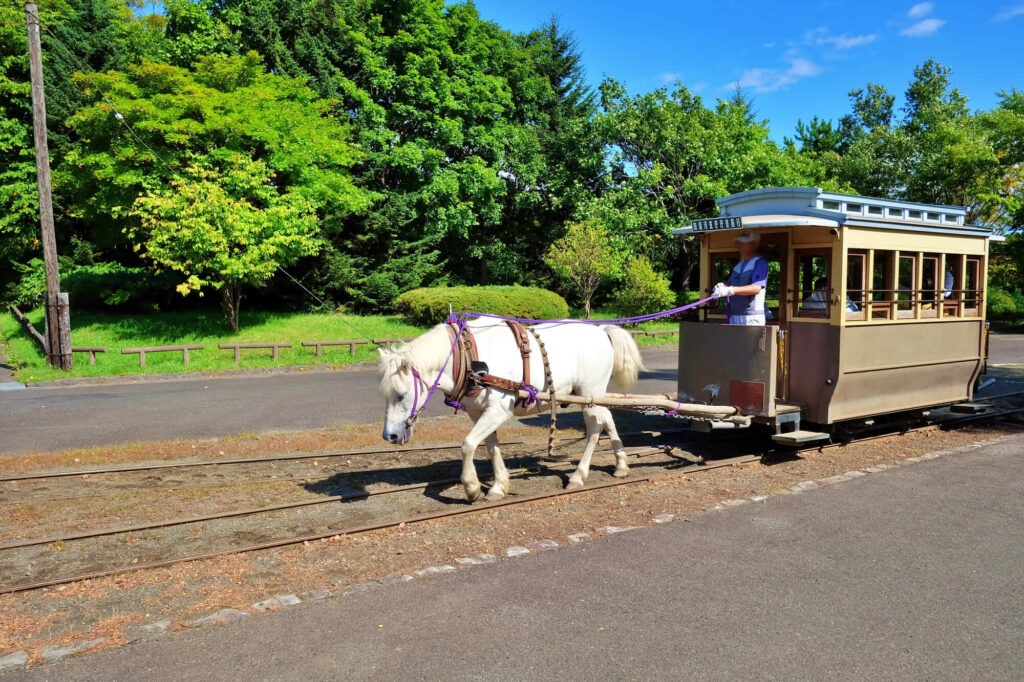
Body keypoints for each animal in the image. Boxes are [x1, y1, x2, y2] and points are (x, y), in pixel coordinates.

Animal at [380, 319, 643, 499]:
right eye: (385, 396)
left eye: (402, 395)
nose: (389, 436)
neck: (468, 357)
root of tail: (601, 330)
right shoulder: (480, 412)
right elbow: (490, 447)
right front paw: (499, 486)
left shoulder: (498, 411)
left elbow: (467, 445)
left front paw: (472, 487)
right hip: (590, 395)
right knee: (608, 418)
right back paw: (621, 464)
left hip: (590, 394)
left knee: (595, 429)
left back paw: (579, 476)